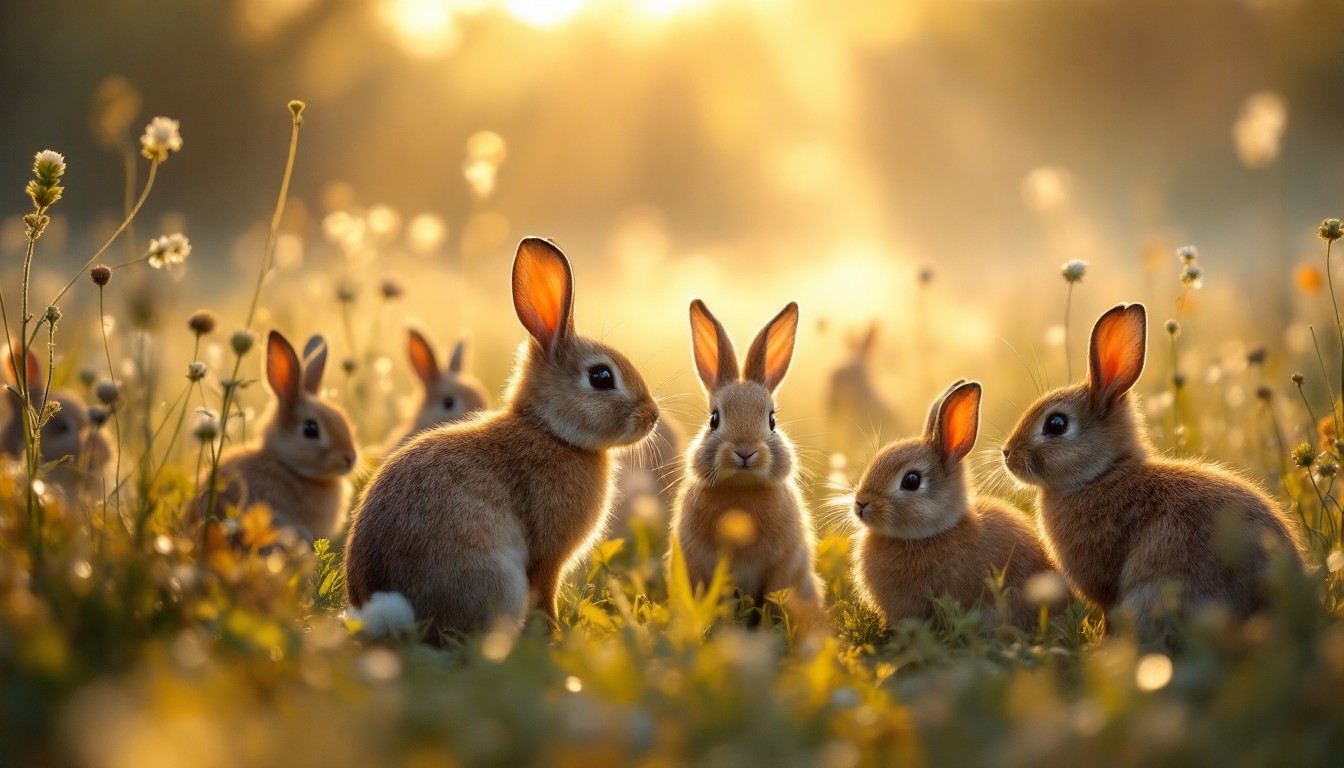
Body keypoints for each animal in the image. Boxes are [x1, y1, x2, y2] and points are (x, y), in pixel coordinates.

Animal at [344, 237, 660, 640]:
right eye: (602, 376)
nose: (652, 416)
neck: (550, 431)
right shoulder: (547, 557)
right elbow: (545, 596)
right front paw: (555, 636)